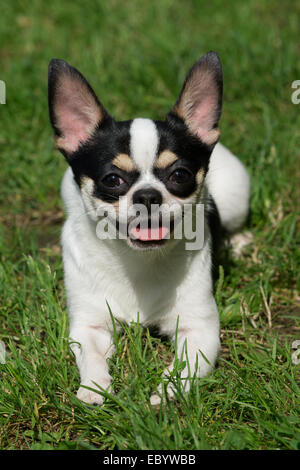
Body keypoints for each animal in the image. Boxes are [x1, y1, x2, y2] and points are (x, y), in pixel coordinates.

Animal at [48, 50, 250, 404]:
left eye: (180, 175)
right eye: (111, 180)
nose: (147, 195)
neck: (137, 262)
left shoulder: (200, 330)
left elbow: (186, 367)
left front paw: (165, 394)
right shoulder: (90, 325)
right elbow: (91, 354)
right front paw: (93, 387)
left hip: (236, 192)